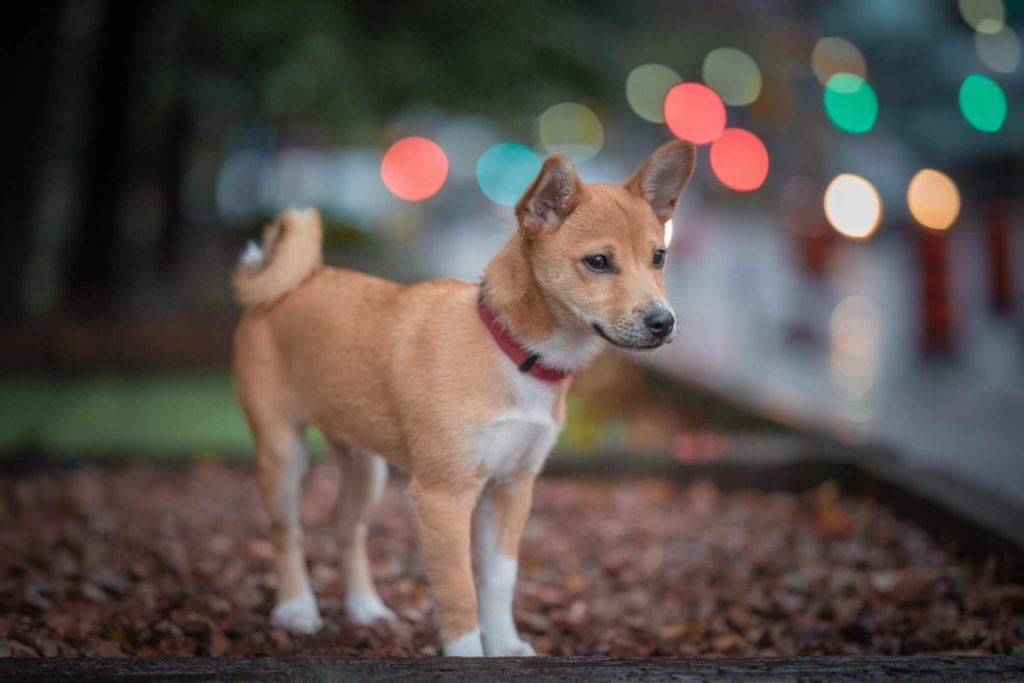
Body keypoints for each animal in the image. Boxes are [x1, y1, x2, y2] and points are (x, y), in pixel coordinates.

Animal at [232, 140, 696, 655]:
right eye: (598, 262)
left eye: (658, 257)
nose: (664, 322)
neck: (515, 353)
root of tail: (297, 280)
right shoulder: (443, 495)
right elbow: (459, 590)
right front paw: (468, 655)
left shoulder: (512, 489)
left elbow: (498, 581)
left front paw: (505, 646)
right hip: (283, 454)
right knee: (286, 532)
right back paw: (298, 609)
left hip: (364, 465)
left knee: (345, 528)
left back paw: (365, 609)